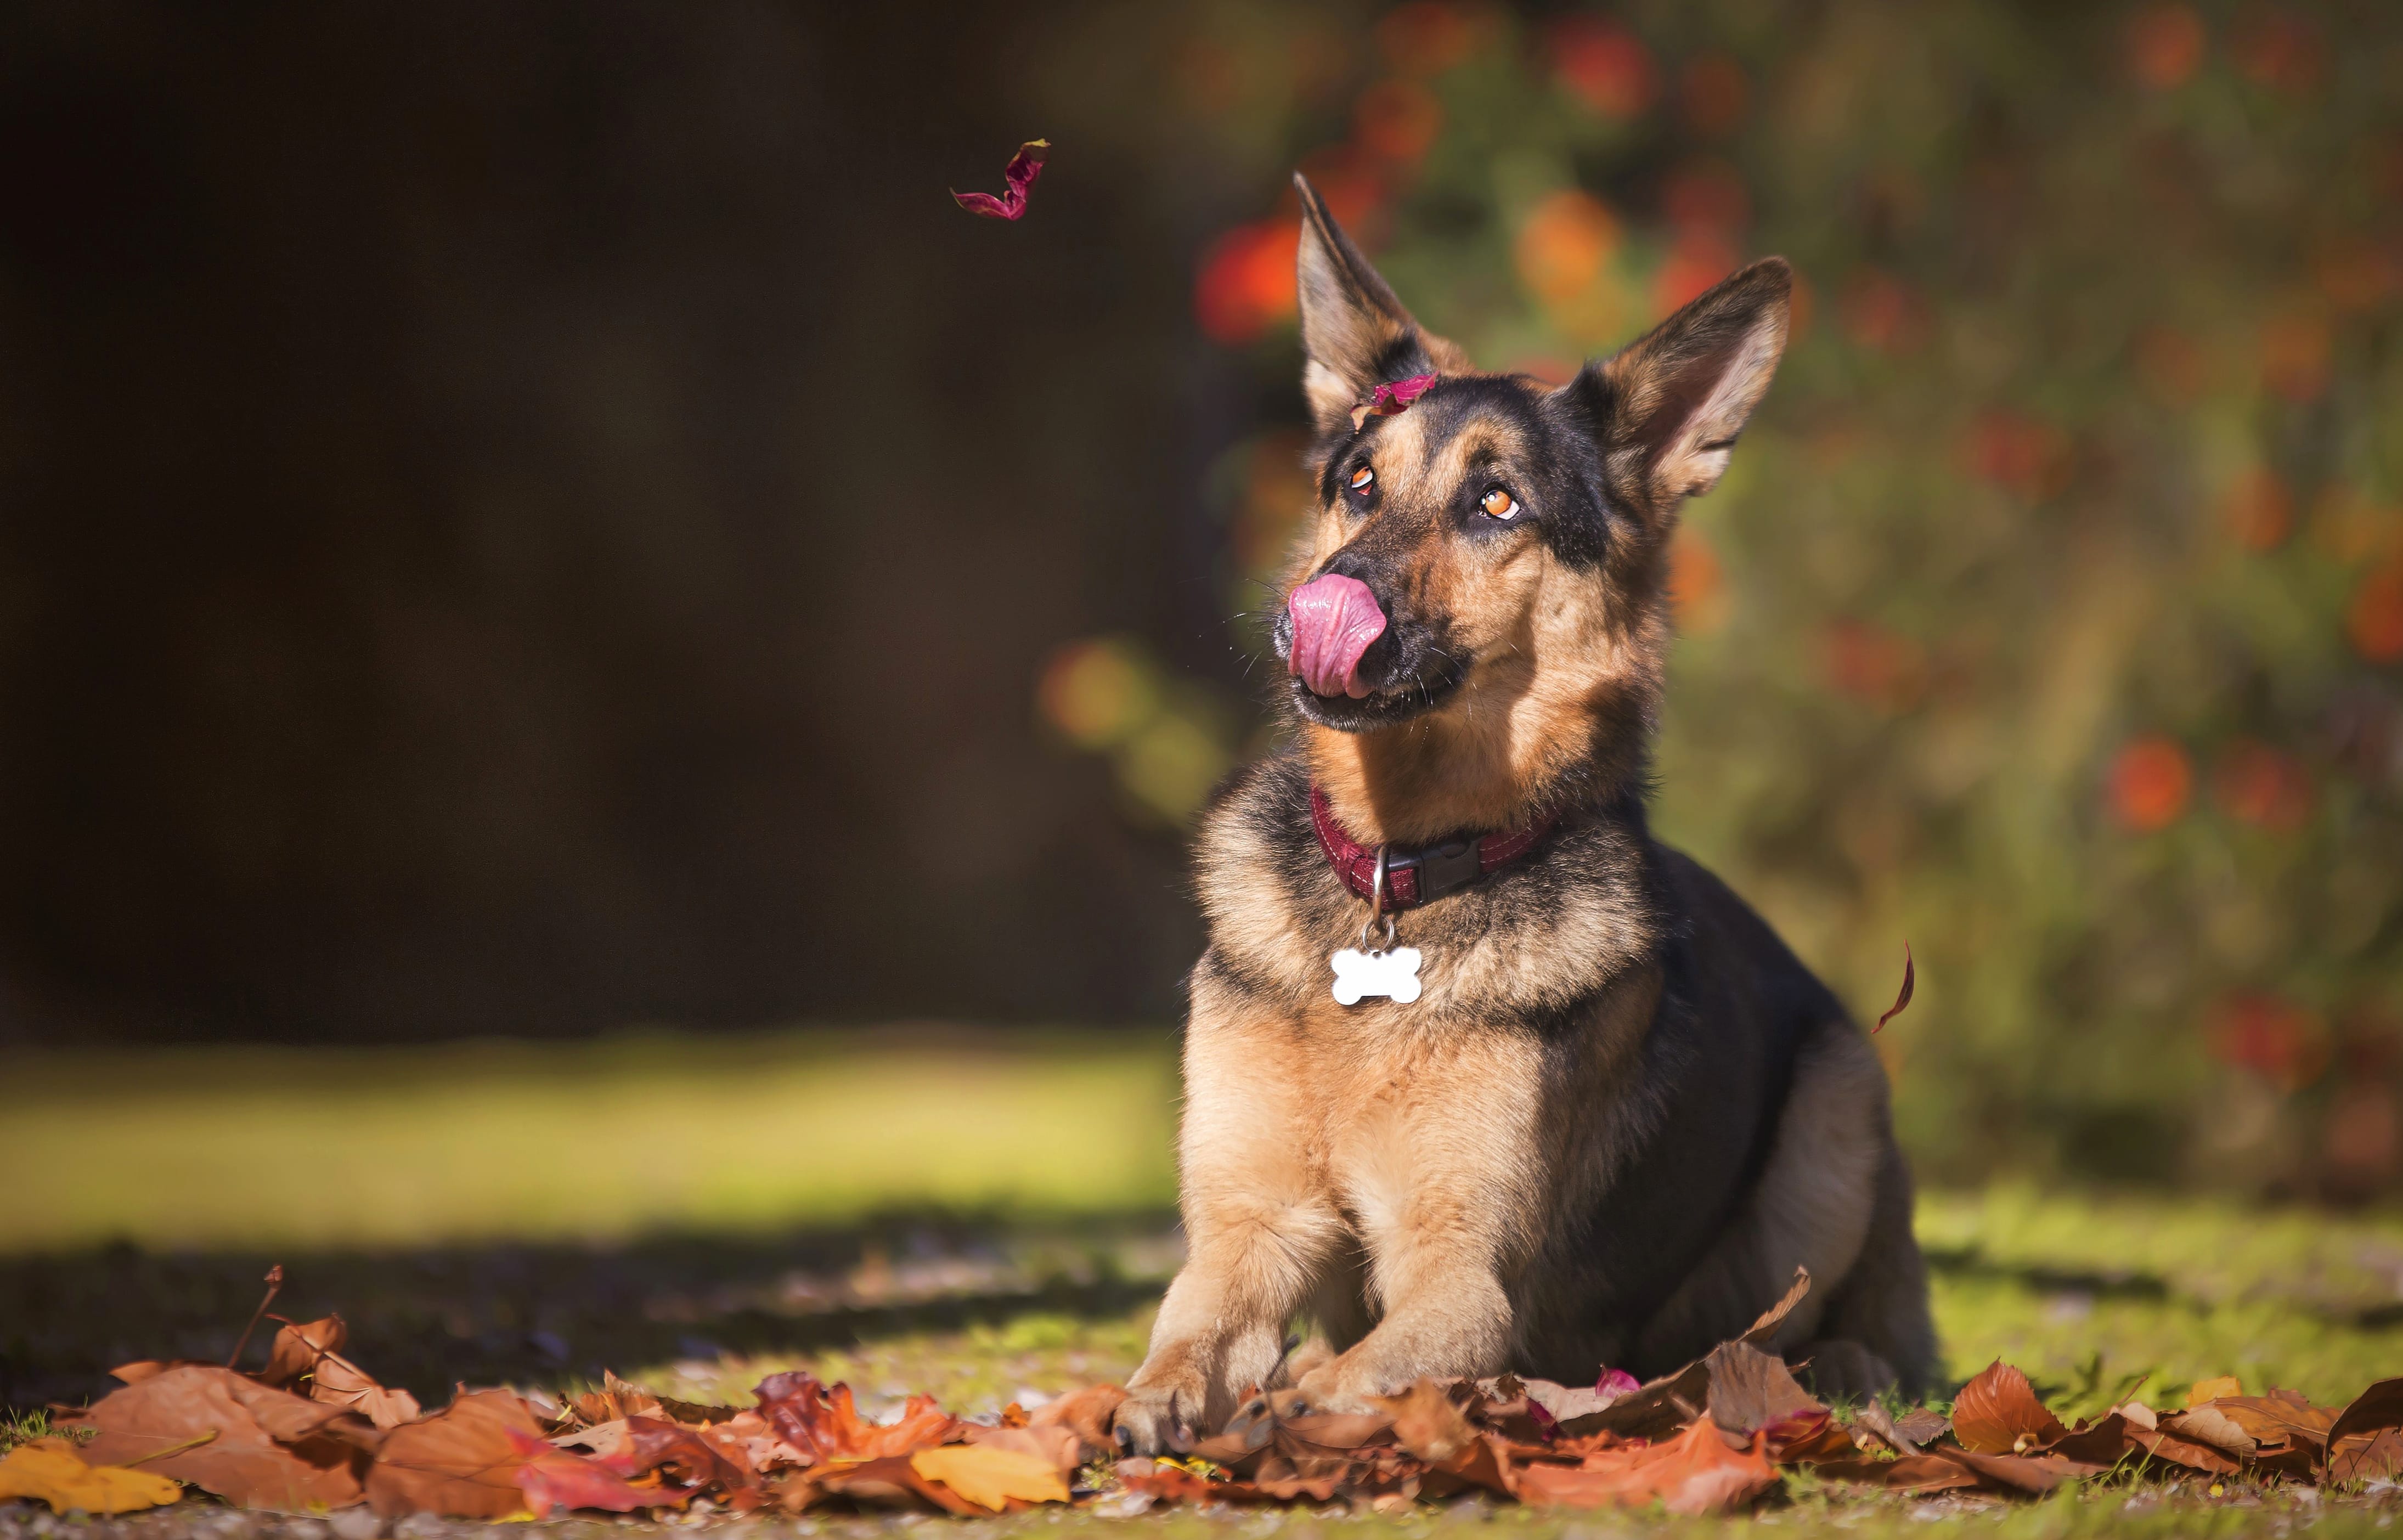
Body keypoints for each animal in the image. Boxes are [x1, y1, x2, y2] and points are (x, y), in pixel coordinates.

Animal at [1110, 174, 1932, 1451]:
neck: (1401, 871)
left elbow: (1364, 1368)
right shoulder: (1252, 1227)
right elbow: (1189, 1333)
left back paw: (1842, 1362)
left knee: (1844, 1321)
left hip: (1833, 1116)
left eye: (1496, 503)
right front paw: (1165, 1395)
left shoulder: (1461, 1279)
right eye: (1359, 484)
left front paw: (1298, 1402)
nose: (1313, 608)